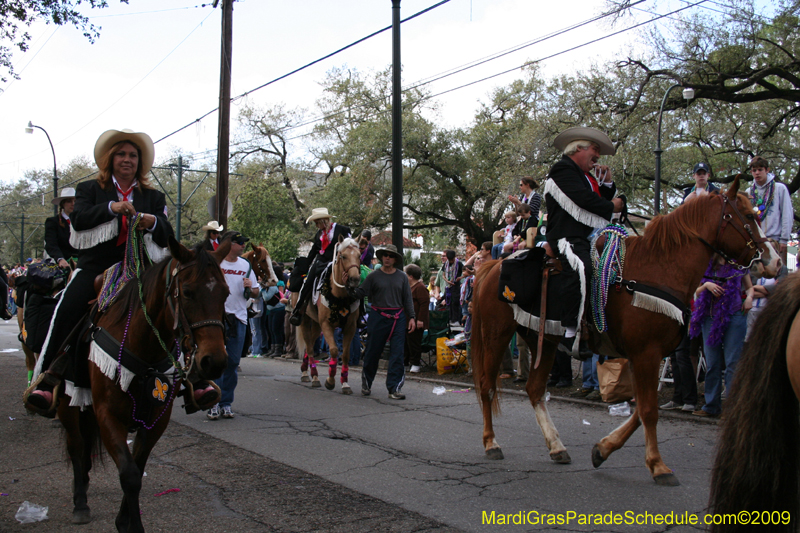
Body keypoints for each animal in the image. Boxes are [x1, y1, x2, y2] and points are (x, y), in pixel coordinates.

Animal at [56, 239, 230, 528]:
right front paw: (129, 524)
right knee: (77, 445)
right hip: (68, 404)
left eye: (226, 293)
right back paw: (80, 501)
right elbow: (129, 475)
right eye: (187, 292)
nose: (214, 362)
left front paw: (123, 519)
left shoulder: (156, 418)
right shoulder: (108, 415)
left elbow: (138, 466)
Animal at [296, 236, 360, 390]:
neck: (340, 297)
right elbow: (334, 350)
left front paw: (345, 383)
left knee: (309, 346)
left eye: (359, 255)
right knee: (309, 347)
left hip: (316, 324)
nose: (355, 280)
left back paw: (308, 372)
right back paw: (312, 376)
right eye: (343, 256)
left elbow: (345, 354)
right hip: (305, 321)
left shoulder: (350, 327)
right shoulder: (326, 325)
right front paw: (330, 381)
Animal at [468, 177, 780, 484]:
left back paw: (557, 447)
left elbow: (642, 408)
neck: (659, 270)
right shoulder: (646, 353)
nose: (774, 261)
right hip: (496, 334)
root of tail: (493, 266)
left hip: (543, 340)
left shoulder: (644, 356)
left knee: (533, 389)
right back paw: (491, 443)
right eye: (749, 216)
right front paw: (658, 465)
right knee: (486, 386)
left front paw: (602, 450)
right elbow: (649, 410)